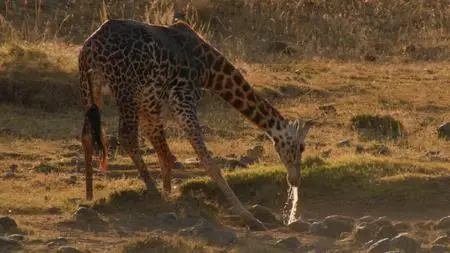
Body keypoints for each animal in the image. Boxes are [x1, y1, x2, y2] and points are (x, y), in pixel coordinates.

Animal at [79, 18, 312, 230]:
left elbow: (165, 154)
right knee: (126, 136)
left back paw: (89, 194)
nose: (296, 181)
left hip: (90, 88)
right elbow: (206, 159)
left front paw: (168, 193)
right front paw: (249, 217)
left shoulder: (151, 105)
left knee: (88, 136)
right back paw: (151, 190)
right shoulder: (183, 100)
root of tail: (91, 47)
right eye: (301, 147)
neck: (210, 70)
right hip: (126, 91)